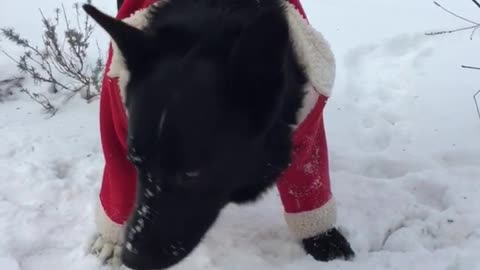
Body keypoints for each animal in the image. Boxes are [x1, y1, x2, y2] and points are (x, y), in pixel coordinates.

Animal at [82, 1, 352, 268]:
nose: (132, 259)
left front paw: (324, 239)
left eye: (190, 174)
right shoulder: (116, 119)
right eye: (135, 161)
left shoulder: (307, 122)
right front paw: (111, 241)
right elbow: (118, 180)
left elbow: (308, 185)